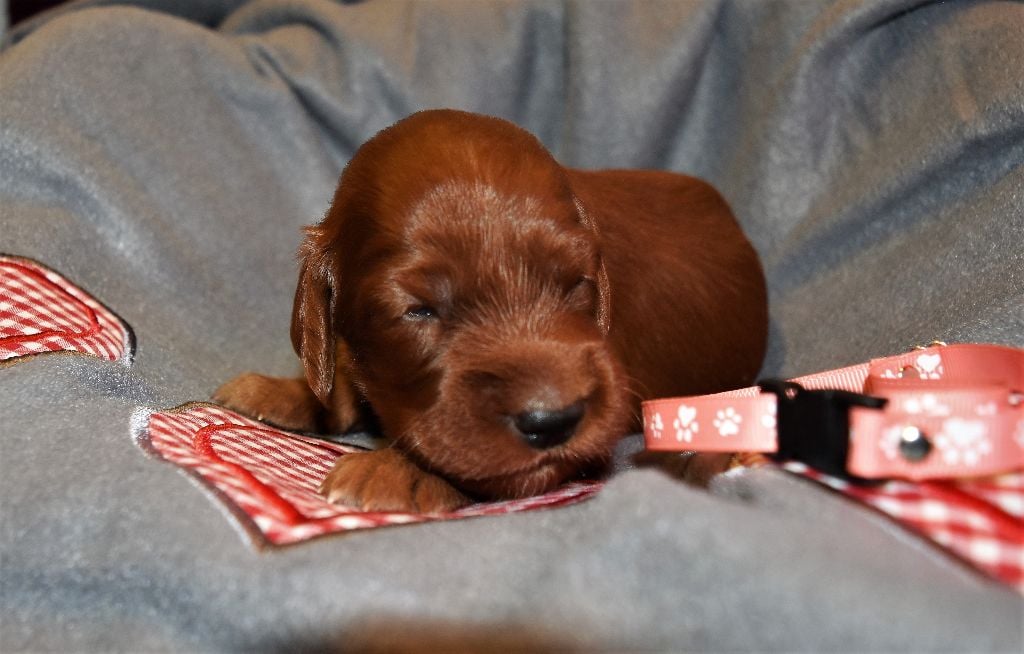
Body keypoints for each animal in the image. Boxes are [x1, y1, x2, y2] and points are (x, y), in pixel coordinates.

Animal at [214, 109, 768, 513]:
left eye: (576, 284)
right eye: (419, 311)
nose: (553, 421)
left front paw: (401, 469)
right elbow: (340, 380)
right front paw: (284, 391)